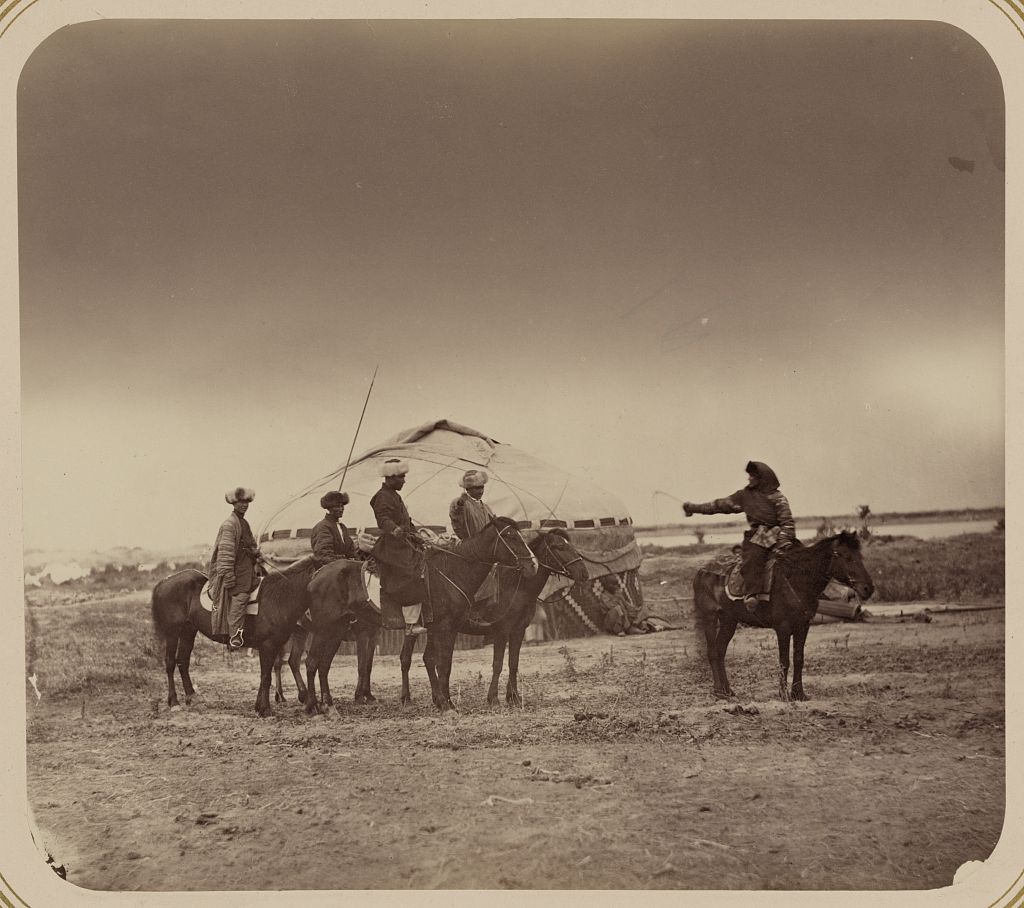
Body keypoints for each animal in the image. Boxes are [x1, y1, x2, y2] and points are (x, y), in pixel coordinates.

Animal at [149, 556, 313, 720]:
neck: (278, 597)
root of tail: (164, 581)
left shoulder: (273, 646)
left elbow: (266, 675)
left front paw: (259, 706)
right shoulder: (268, 646)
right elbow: (266, 677)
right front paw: (266, 709)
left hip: (188, 631)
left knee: (183, 661)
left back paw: (192, 697)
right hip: (172, 632)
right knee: (170, 663)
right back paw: (174, 702)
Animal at [391, 517, 540, 708]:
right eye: (510, 536)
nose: (533, 565)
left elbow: (511, 662)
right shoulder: (492, 629)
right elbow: (447, 665)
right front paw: (450, 704)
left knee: (419, 659)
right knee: (409, 659)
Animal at [688, 532, 872, 704]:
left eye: (860, 556)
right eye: (846, 557)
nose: (868, 588)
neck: (797, 580)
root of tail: (702, 570)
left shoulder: (803, 626)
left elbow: (798, 658)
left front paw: (799, 694)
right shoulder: (783, 628)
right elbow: (784, 660)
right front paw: (784, 695)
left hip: (729, 620)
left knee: (720, 651)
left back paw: (728, 691)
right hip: (710, 617)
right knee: (713, 652)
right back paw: (719, 692)